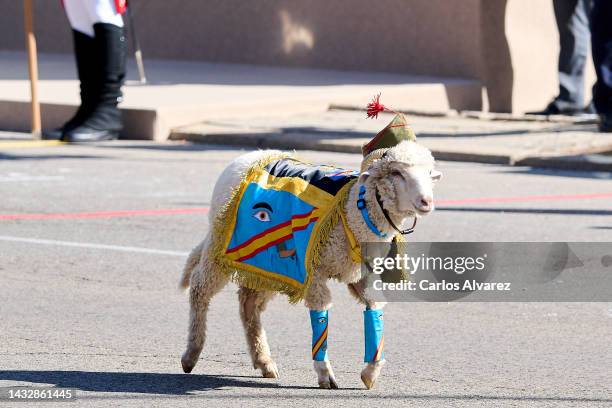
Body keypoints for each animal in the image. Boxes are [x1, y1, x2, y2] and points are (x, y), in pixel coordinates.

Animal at [177, 140, 440, 388]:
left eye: (429, 173)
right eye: (396, 173)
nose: (426, 201)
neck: (355, 211)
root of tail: (248, 156)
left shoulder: (363, 276)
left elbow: (375, 310)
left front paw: (370, 374)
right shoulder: (314, 273)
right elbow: (320, 314)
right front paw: (325, 375)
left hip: (267, 264)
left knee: (248, 304)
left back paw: (264, 361)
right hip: (220, 249)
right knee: (199, 287)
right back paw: (191, 354)